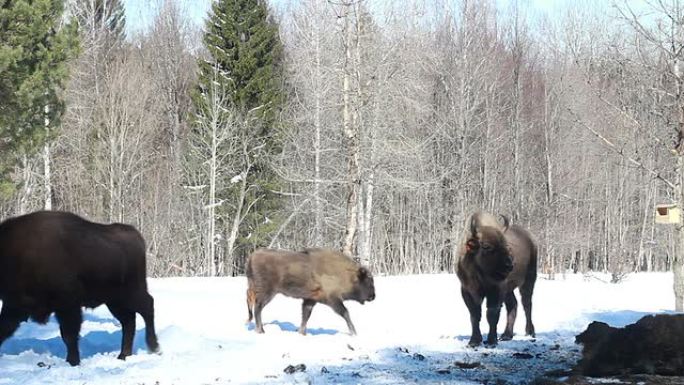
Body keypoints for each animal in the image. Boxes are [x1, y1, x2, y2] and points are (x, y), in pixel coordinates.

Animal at [0, 212, 160, 364]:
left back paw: (154, 347)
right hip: (114, 301)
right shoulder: (14, 305)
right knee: (129, 321)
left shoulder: (68, 305)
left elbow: (69, 335)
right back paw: (123, 355)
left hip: (131, 293)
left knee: (147, 307)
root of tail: (136, 236)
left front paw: (72, 361)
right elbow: (4, 328)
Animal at [244, 248, 376, 334]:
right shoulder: (333, 299)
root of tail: (252, 256)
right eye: (368, 281)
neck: (346, 274)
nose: (373, 296)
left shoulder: (311, 299)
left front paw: (302, 332)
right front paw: (354, 332)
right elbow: (345, 313)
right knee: (258, 308)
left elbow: (306, 315)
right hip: (267, 293)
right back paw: (261, 330)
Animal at [456, 212, 536, 346]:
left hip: (529, 280)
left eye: (507, 246)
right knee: (513, 305)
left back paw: (530, 332)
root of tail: (530, 237)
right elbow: (474, 315)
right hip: (509, 289)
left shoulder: (496, 290)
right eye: (486, 246)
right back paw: (506, 335)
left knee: (527, 304)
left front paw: (491, 340)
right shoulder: (467, 290)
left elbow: (492, 314)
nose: (509, 265)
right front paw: (474, 341)